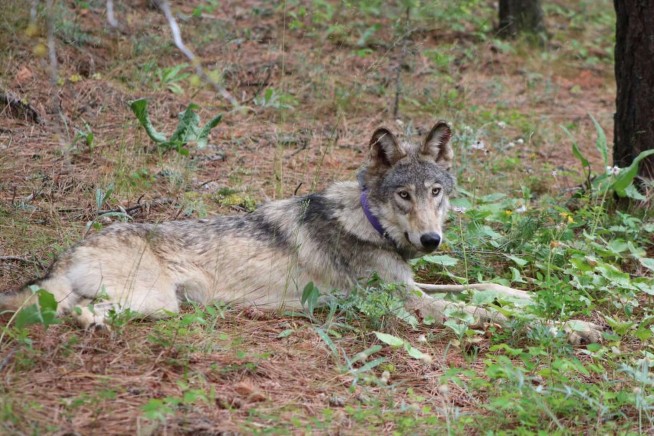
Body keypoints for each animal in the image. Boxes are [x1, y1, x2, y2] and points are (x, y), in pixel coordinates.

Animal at [1, 122, 602, 344]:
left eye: (436, 192)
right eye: (403, 196)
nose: (431, 242)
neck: (368, 222)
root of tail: (72, 248)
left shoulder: (411, 287)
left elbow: (484, 289)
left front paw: (529, 297)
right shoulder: (406, 305)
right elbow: (481, 313)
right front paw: (572, 327)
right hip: (154, 302)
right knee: (72, 312)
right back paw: (86, 324)